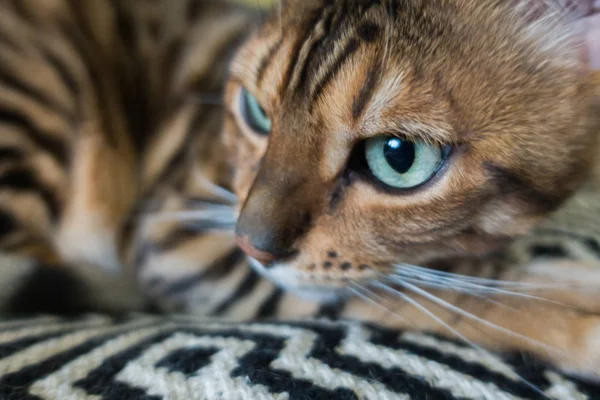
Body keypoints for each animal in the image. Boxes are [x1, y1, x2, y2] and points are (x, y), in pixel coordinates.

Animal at [1, 0, 600, 382]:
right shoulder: (181, 232)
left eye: (398, 156)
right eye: (256, 111)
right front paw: (569, 307)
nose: (251, 244)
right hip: (40, 96)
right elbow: (423, 293)